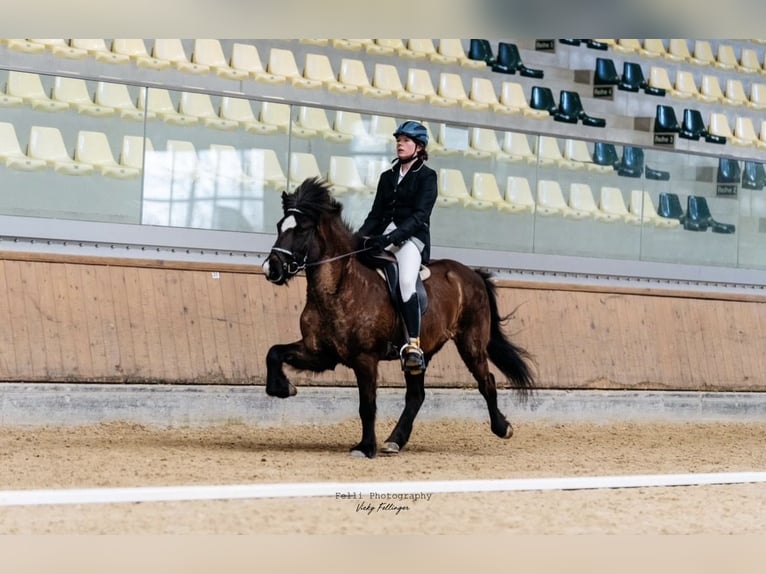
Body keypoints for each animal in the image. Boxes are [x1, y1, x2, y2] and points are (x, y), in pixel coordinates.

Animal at [261, 177, 535, 458]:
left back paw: (502, 428)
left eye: (302, 230)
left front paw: (365, 447)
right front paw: (283, 388)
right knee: (416, 395)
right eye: (279, 226)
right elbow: (274, 353)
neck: (339, 287)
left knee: (486, 382)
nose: (272, 269)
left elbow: (367, 405)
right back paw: (394, 441)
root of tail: (472, 274)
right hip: (422, 353)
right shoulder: (321, 354)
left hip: (471, 343)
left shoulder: (365, 358)